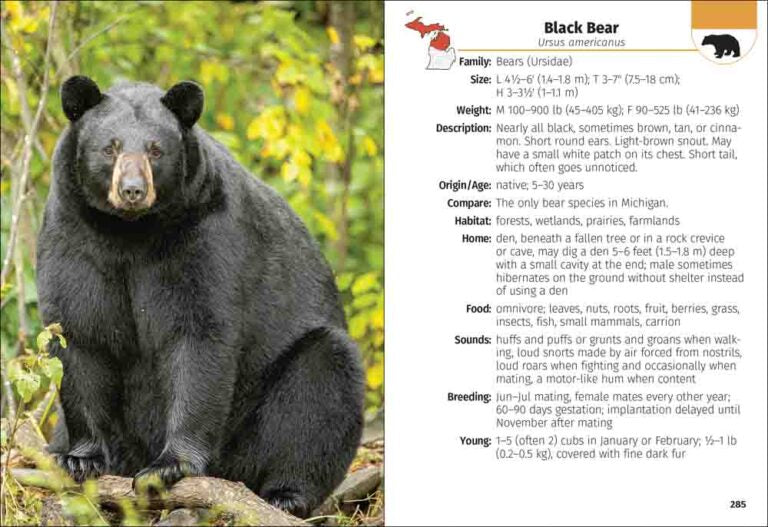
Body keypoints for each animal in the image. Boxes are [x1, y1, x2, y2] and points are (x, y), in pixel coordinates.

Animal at [37, 75, 364, 518]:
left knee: (322, 385)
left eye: (156, 150)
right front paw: (79, 457)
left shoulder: (203, 234)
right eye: (111, 147)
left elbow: (197, 333)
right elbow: (79, 334)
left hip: (257, 422)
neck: (129, 232)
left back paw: (286, 493)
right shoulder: (74, 237)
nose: (132, 190)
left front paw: (169, 466)